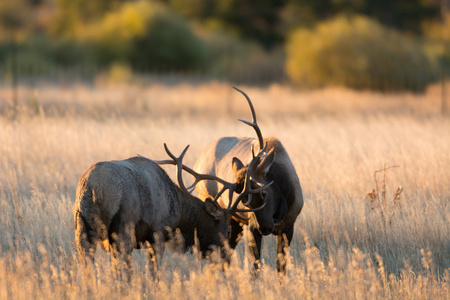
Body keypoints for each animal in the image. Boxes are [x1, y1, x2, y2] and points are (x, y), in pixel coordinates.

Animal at [192, 87, 302, 274]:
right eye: (244, 199)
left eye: (264, 192)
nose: (264, 227)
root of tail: (198, 160)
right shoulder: (251, 226)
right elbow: (255, 268)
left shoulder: (289, 225)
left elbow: (281, 268)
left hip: (233, 222)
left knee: (225, 253)